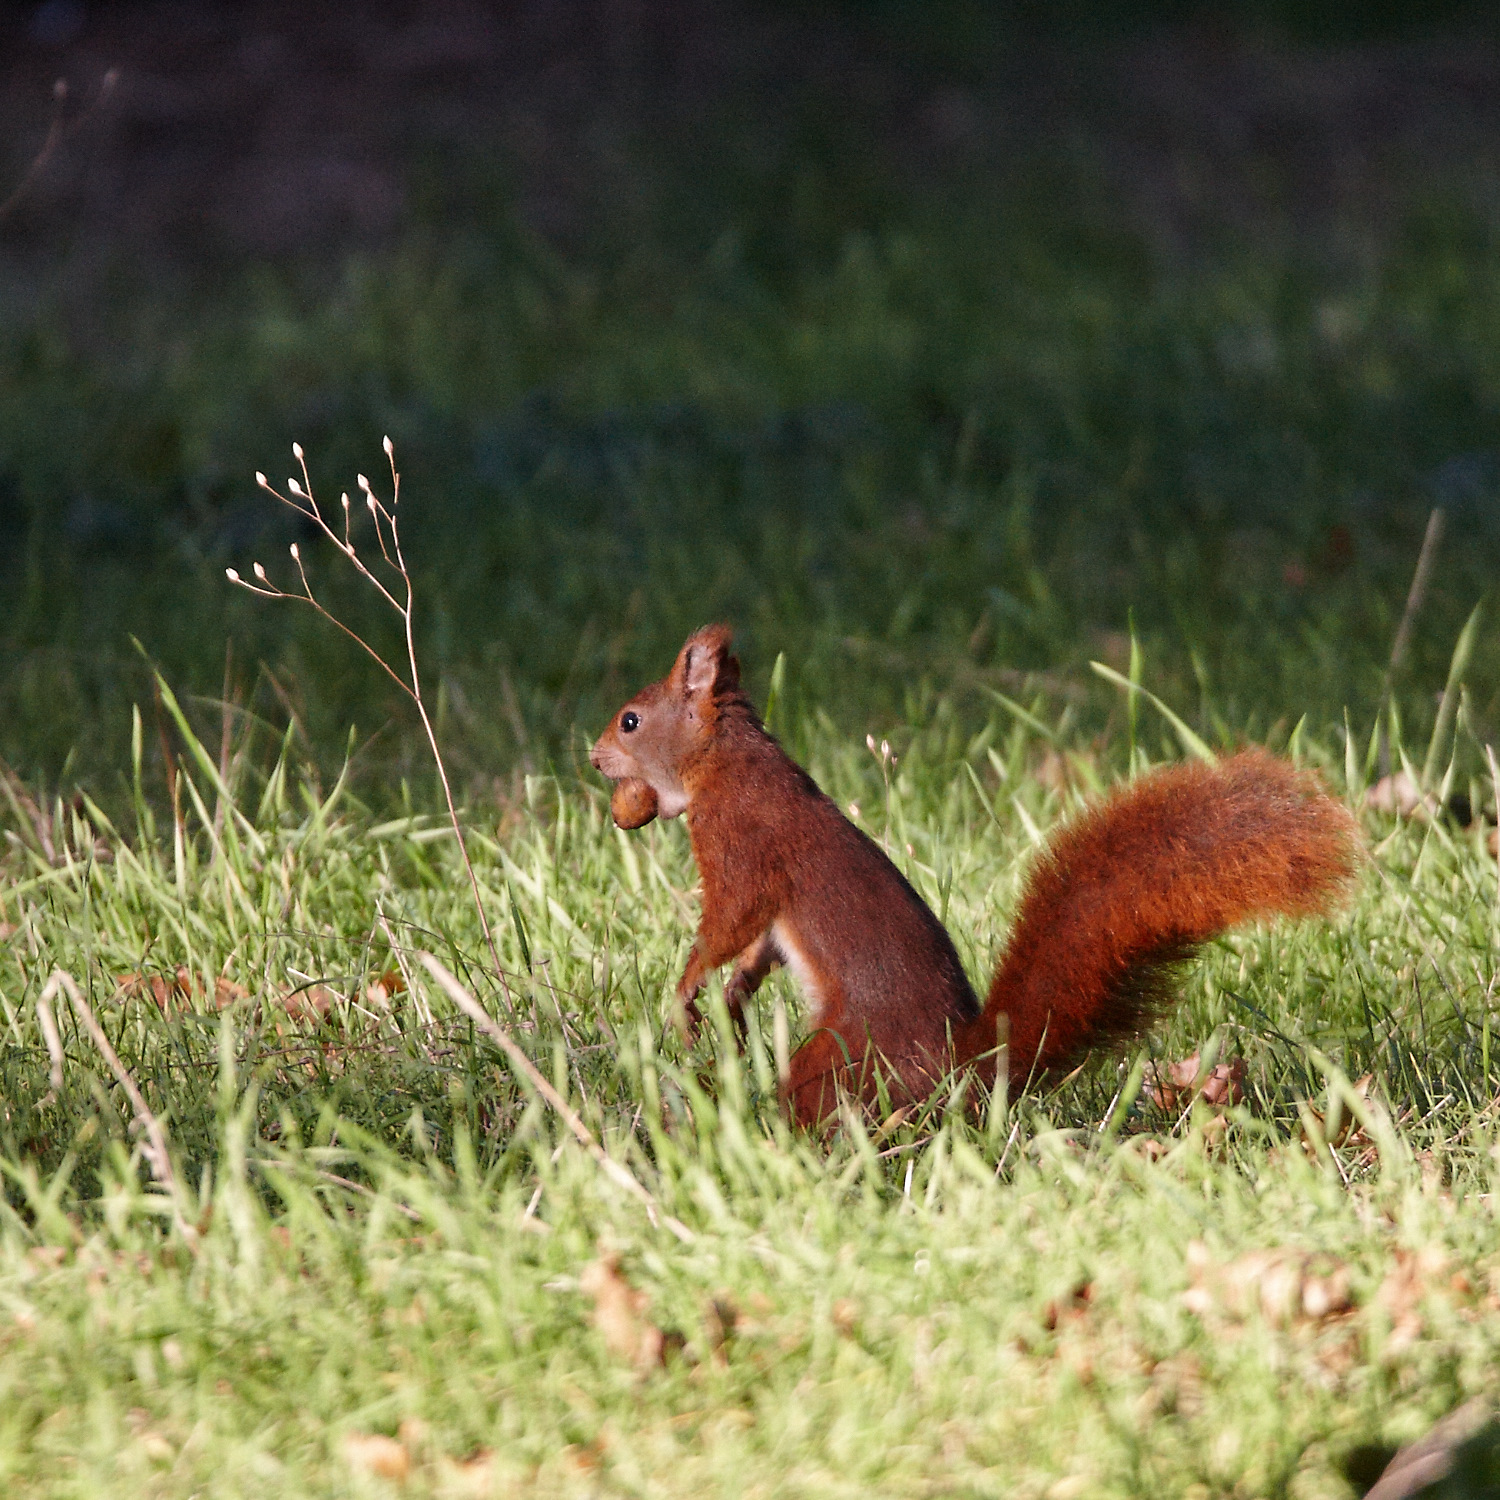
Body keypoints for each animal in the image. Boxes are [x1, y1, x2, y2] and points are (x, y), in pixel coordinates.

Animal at [590, 624, 1361, 1128]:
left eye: (629, 720)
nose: (594, 759)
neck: (724, 760)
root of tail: (959, 1065)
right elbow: (759, 945)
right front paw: (733, 996)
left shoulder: (742, 842)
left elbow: (731, 917)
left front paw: (689, 986)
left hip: (844, 1058)